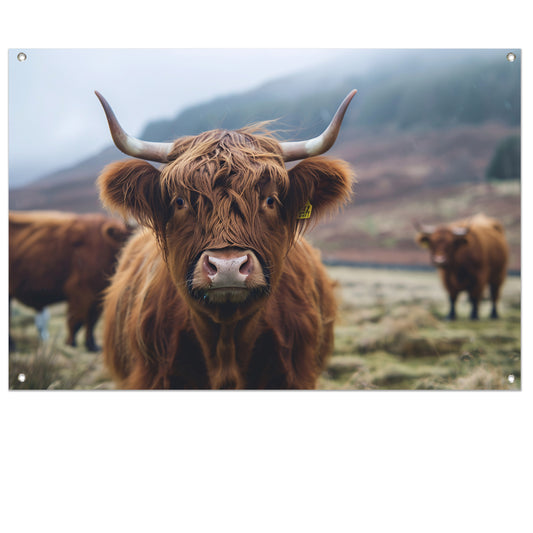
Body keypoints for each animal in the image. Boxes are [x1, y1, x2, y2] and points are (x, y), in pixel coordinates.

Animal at [9, 210, 131, 352]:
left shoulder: (97, 296)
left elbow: (92, 321)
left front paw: (92, 345)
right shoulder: (80, 292)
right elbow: (76, 321)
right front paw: (71, 343)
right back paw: (12, 346)